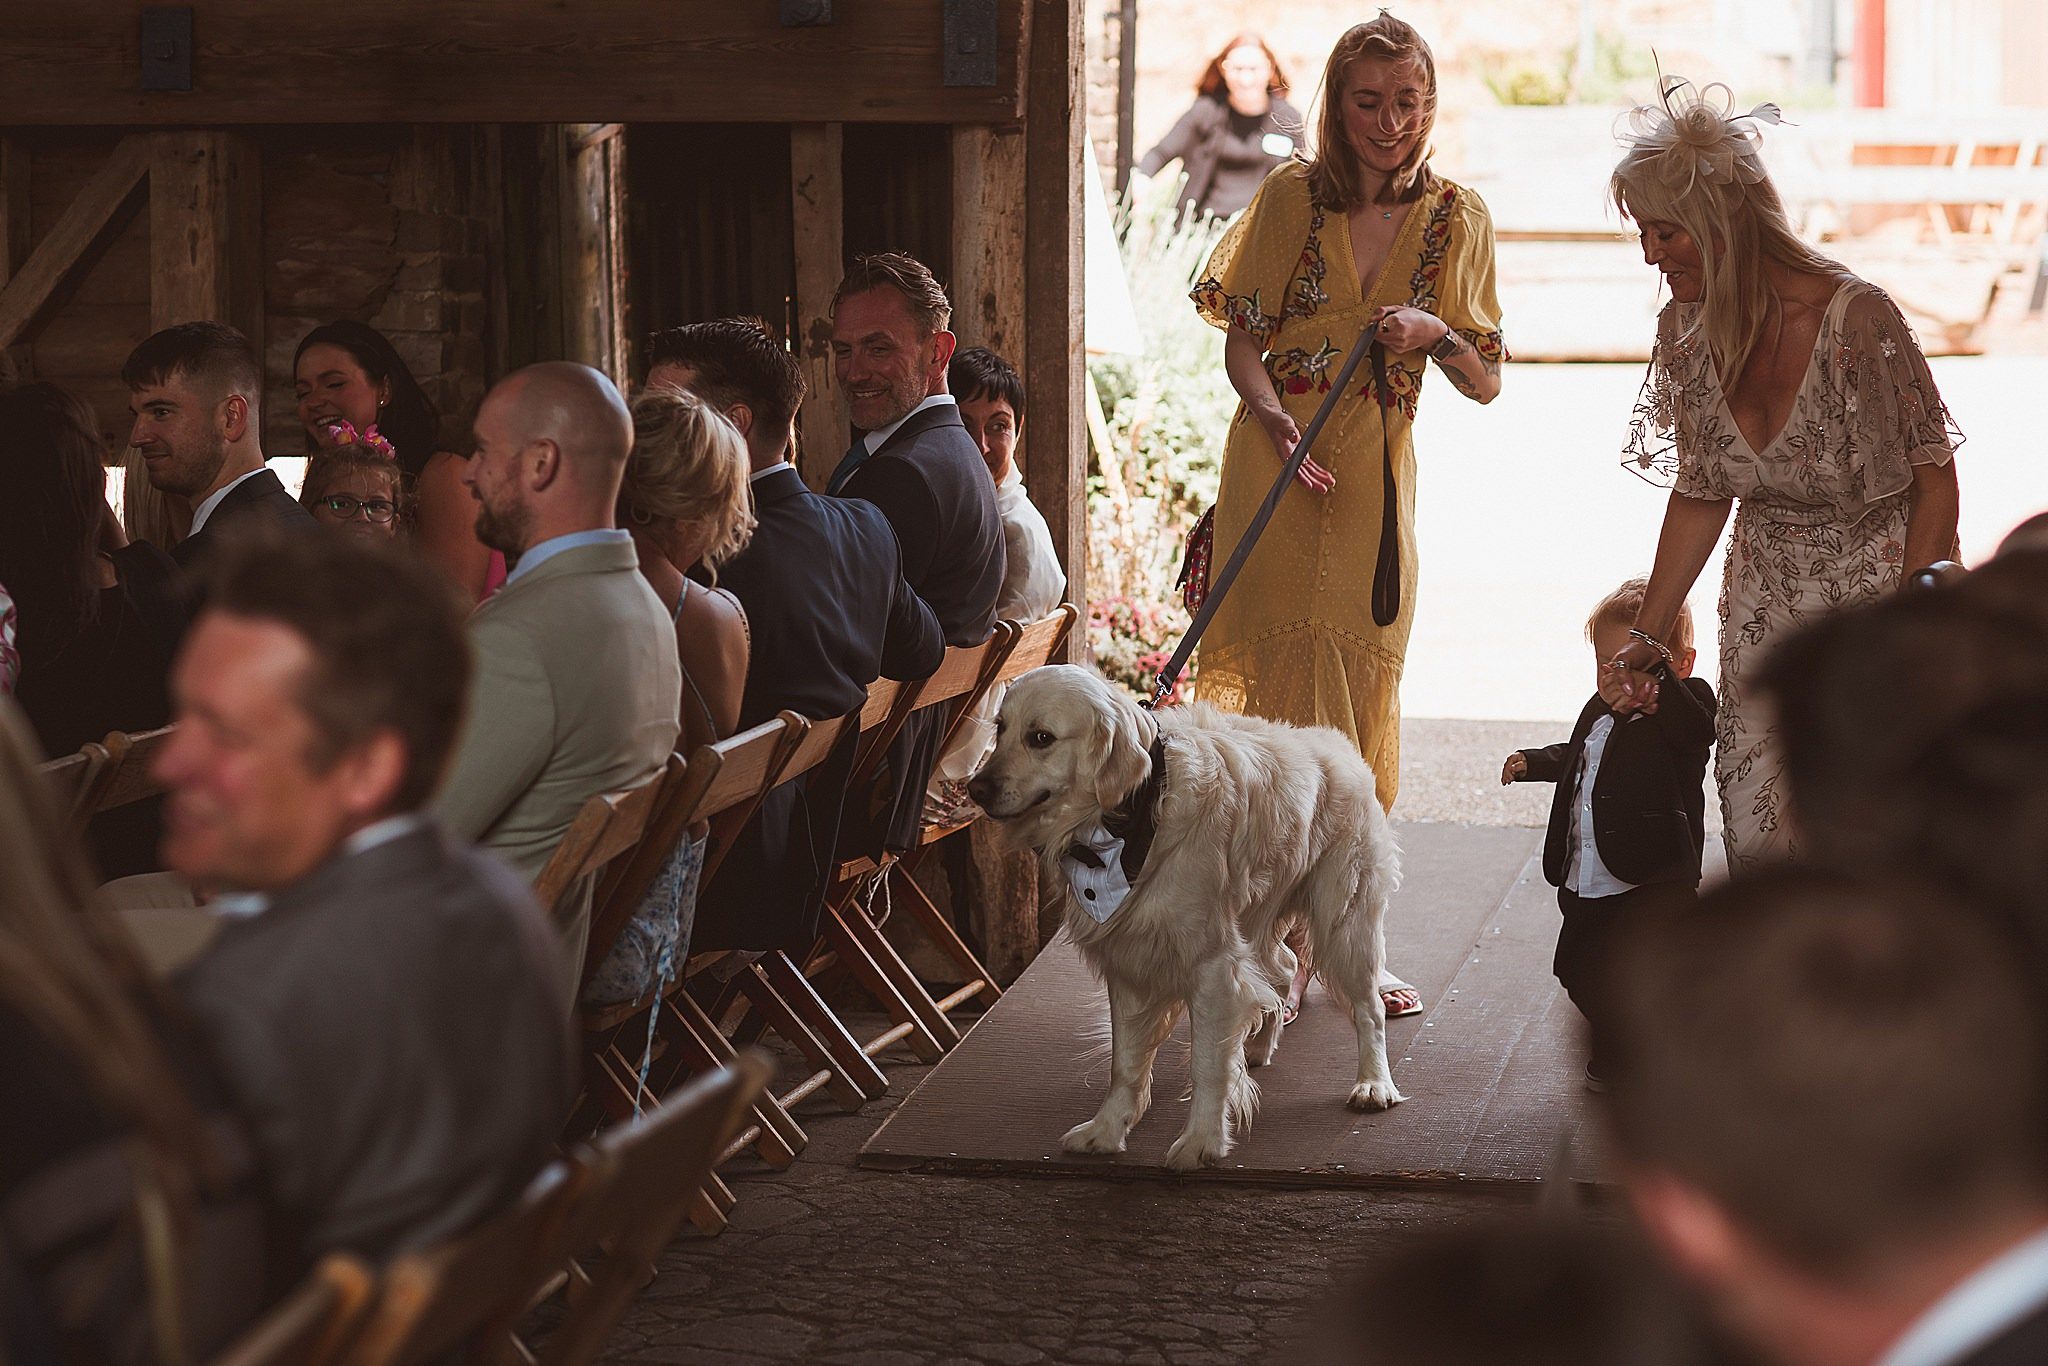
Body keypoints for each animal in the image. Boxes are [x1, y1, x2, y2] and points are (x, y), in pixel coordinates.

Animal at [966, 667, 1400, 1171]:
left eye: (1041, 738)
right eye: (1000, 728)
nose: (975, 789)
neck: (1133, 815)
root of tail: (1339, 745)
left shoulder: (1212, 965)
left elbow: (1207, 1064)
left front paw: (1201, 1141)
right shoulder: (1131, 959)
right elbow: (1125, 1064)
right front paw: (1106, 1130)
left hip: (1344, 922)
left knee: (1368, 1009)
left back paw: (1373, 1083)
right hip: (1258, 916)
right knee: (1284, 967)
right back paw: (1257, 1044)